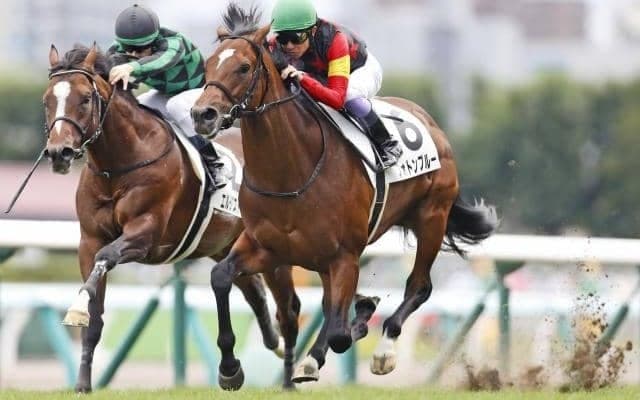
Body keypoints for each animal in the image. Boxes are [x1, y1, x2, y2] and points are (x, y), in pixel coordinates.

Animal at [42, 44, 300, 392]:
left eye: (84, 98)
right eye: (47, 100)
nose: (60, 152)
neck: (118, 166)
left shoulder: (145, 234)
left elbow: (106, 256)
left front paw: (76, 307)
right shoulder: (89, 240)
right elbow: (94, 315)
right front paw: (83, 383)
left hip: (275, 250)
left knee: (288, 309)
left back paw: (287, 375)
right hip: (226, 243)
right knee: (253, 290)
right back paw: (268, 345)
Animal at [190, 5, 497, 390]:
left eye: (244, 67)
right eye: (208, 66)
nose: (202, 115)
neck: (291, 170)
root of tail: (431, 123)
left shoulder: (345, 255)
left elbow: (340, 332)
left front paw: (360, 321)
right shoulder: (266, 248)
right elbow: (220, 277)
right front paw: (230, 368)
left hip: (431, 217)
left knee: (419, 286)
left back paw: (381, 350)